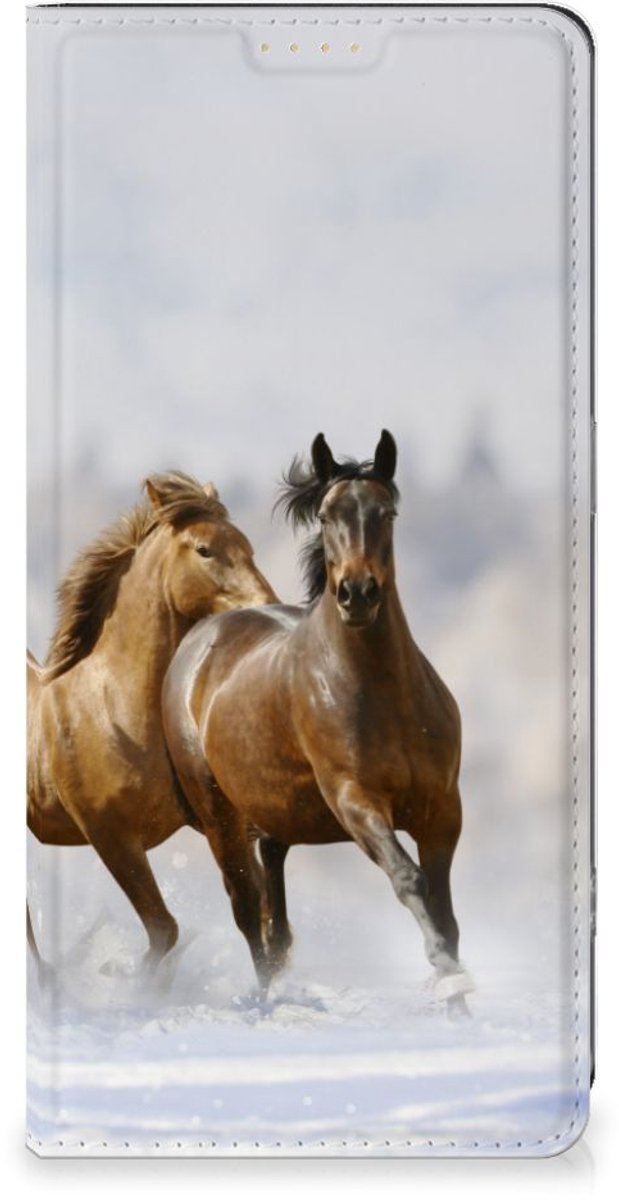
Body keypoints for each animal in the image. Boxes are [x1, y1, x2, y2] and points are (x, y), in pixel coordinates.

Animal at [27, 471, 276, 973]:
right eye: (204, 550)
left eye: (248, 546)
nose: (267, 605)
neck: (113, 711)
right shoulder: (111, 837)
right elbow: (164, 929)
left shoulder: (221, 823)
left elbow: (253, 911)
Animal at [162, 433, 474, 1015]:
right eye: (328, 515)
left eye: (387, 512)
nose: (357, 593)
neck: (382, 694)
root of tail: (199, 639)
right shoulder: (355, 800)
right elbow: (410, 880)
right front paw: (448, 978)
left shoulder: (442, 809)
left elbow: (445, 911)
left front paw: (459, 1002)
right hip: (219, 817)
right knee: (247, 908)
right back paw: (266, 1001)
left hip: (275, 816)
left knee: (274, 911)